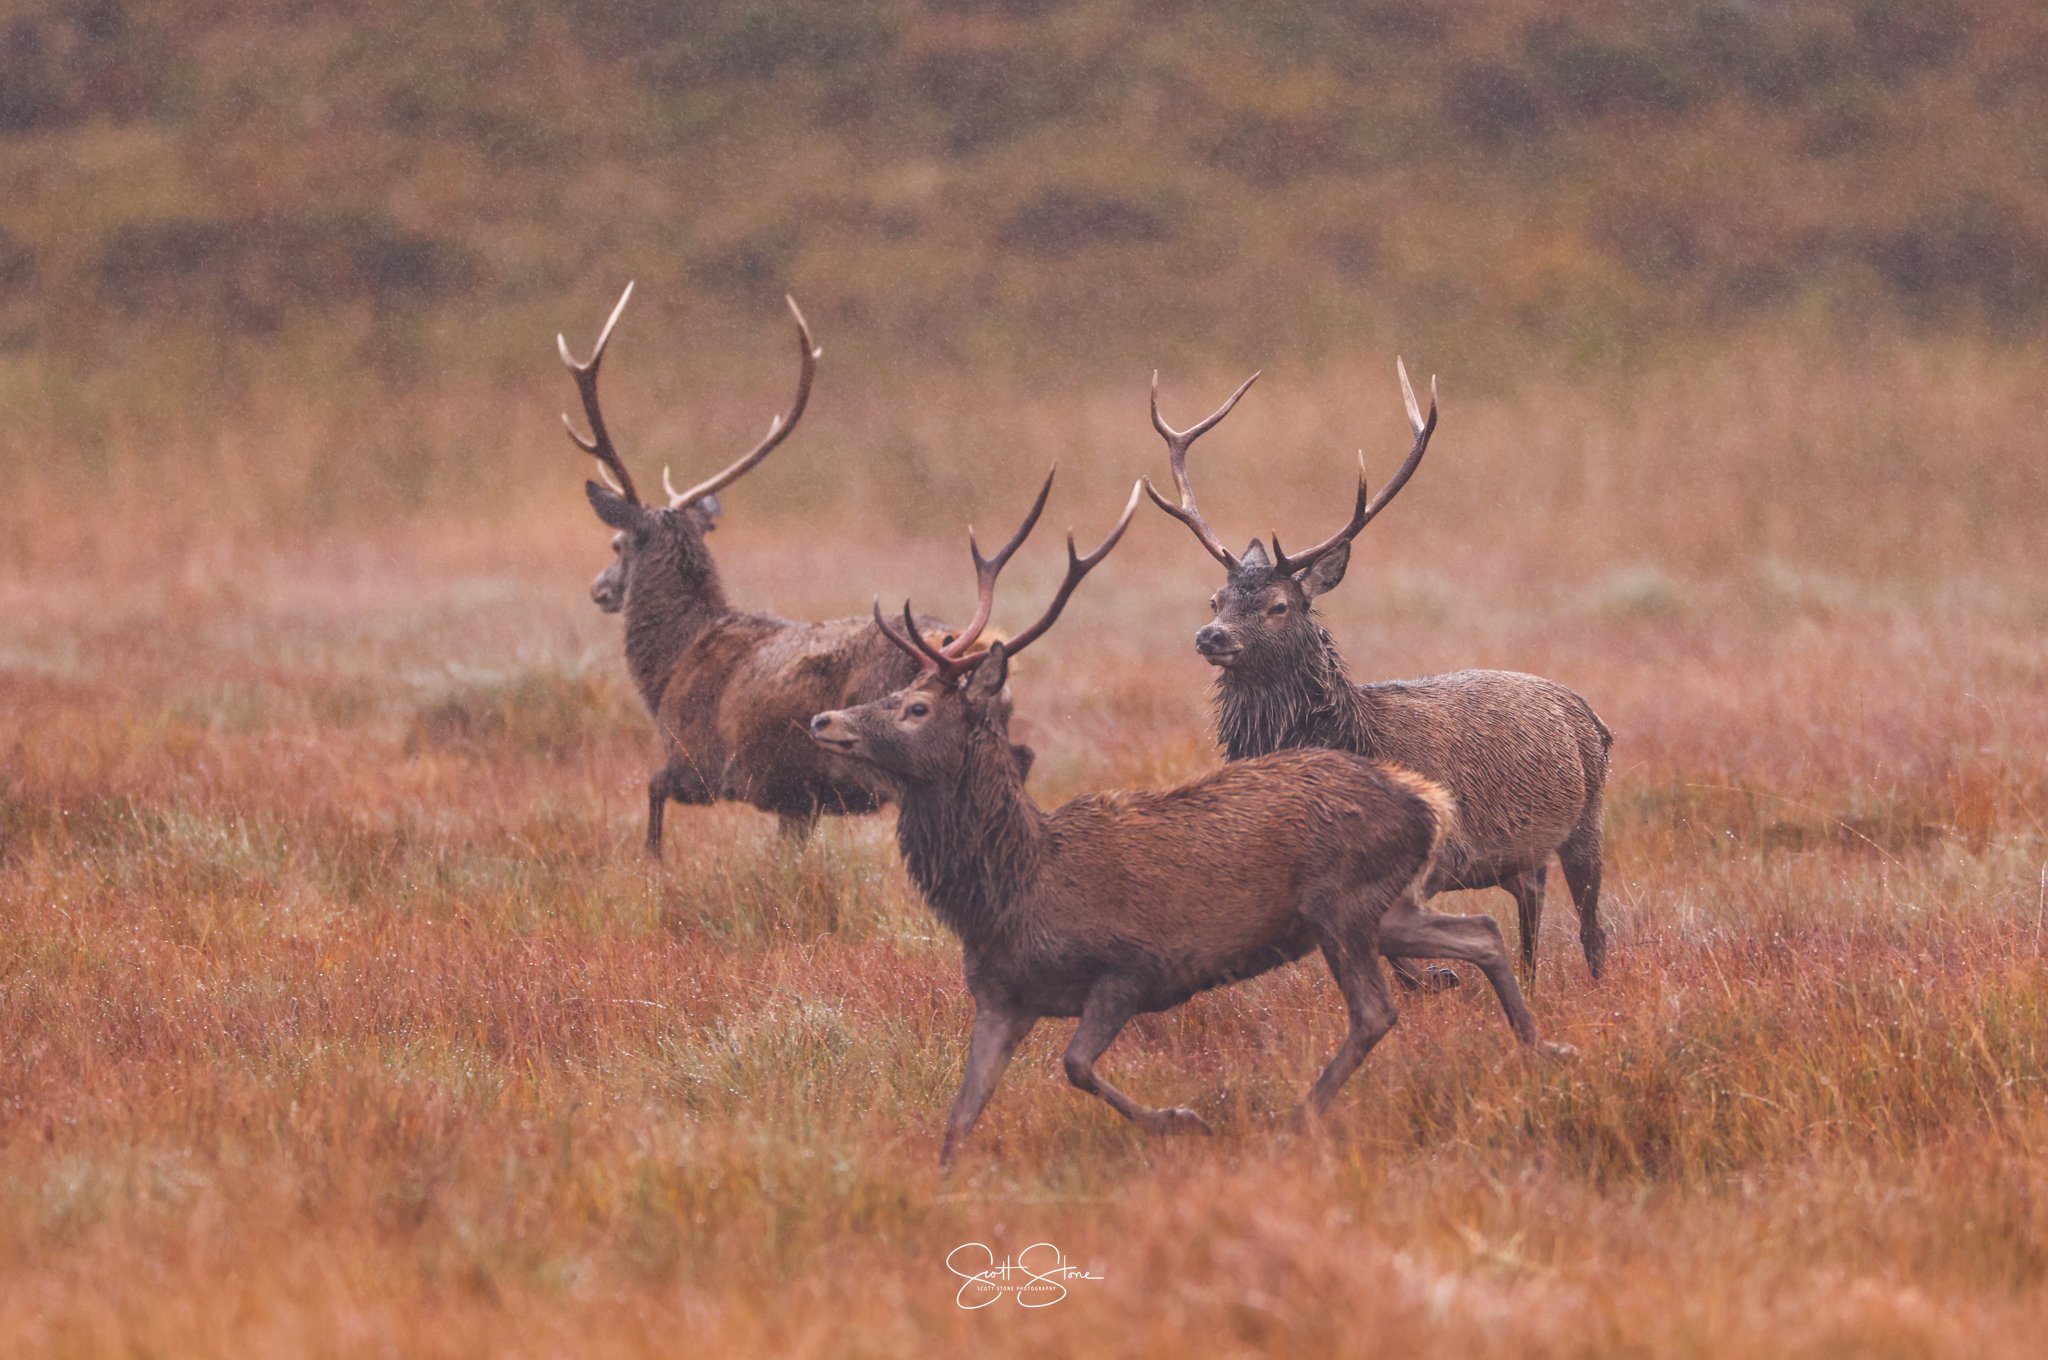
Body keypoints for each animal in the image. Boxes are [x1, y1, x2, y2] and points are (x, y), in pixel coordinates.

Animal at [561, 283, 1028, 854]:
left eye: (617, 543)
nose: (599, 590)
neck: (670, 668)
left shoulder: (702, 763)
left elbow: (652, 793)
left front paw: (651, 862)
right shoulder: (795, 800)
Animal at [807, 476, 1571, 1168]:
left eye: (917, 708)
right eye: (895, 692)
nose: (823, 721)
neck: (1011, 892)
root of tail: (1424, 798)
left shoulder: (1128, 967)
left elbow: (1075, 1066)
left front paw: (1183, 1120)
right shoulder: (999, 999)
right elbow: (959, 1119)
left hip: (1342, 904)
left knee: (1379, 1009)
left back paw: (1297, 1120)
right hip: (1381, 906)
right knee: (1480, 931)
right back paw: (1542, 1043)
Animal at [1144, 363, 1613, 984]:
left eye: (1278, 605)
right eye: (1215, 599)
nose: (1211, 636)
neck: (1355, 736)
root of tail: (1590, 715)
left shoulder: (1443, 852)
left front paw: (1439, 977)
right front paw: (1433, 979)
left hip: (1588, 819)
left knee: (1591, 927)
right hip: (1524, 854)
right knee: (1532, 909)